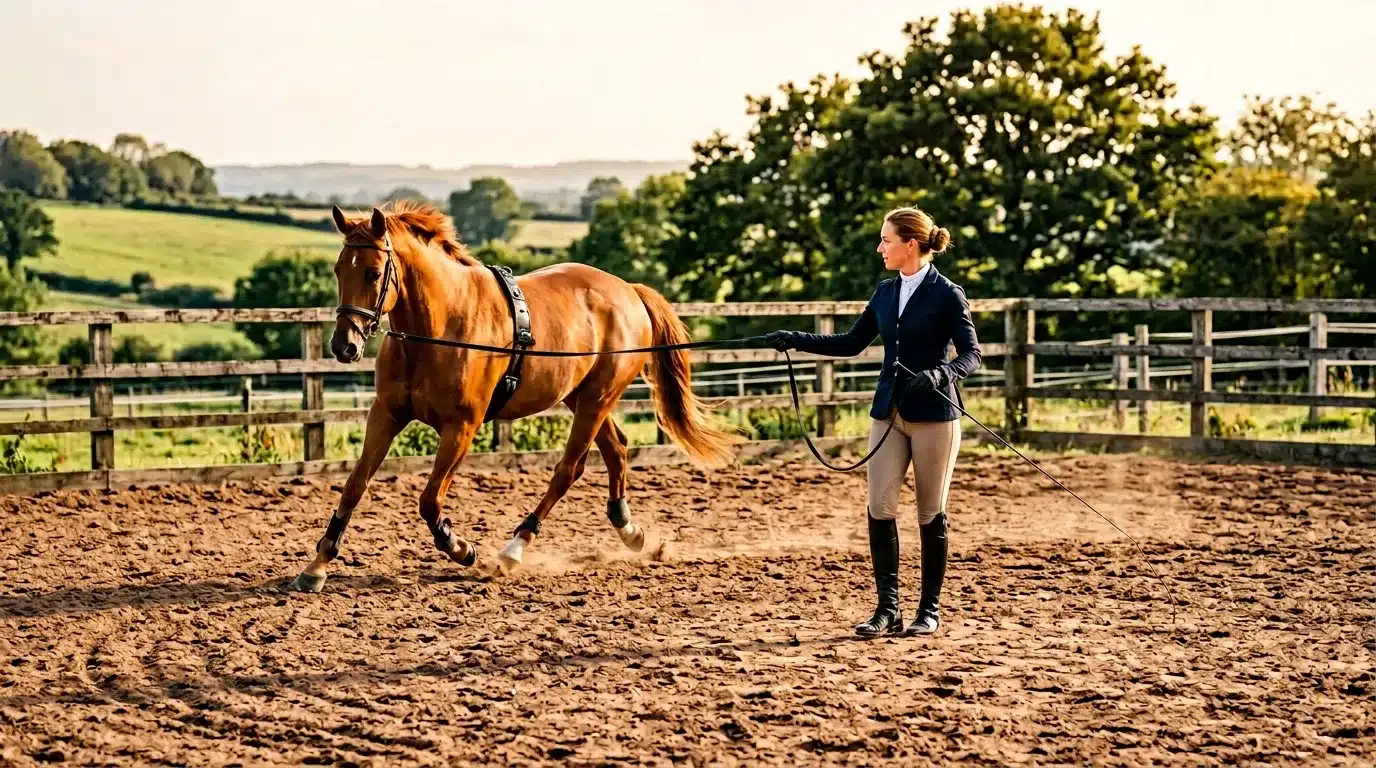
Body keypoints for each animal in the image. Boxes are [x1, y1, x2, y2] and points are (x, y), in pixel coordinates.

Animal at [291, 202, 743, 592]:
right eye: (338, 269)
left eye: (372, 273)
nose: (344, 346)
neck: (438, 329)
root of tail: (628, 292)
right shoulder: (386, 415)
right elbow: (354, 486)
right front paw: (316, 567)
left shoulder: (462, 427)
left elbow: (429, 501)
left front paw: (462, 549)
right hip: (581, 397)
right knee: (615, 449)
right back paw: (629, 530)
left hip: (597, 399)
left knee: (569, 469)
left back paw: (515, 548)